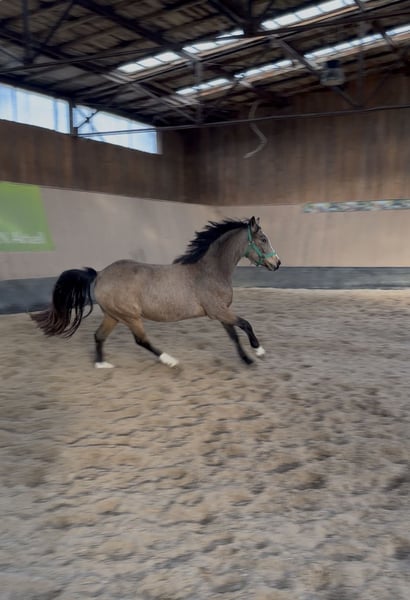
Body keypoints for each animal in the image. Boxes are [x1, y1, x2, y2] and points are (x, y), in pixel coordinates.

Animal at [31, 216, 281, 368]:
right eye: (263, 239)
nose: (277, 263)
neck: (210, 271)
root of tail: (99, 274)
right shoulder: (218, 311)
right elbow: (246, 324)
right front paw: (259, 351)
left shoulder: (220, 312)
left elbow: (234, 335)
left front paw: (247, 360)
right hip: (130, 316)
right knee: (141, 340)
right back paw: (170, 360)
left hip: (114, 315)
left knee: (99, 336)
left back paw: (102, 364)